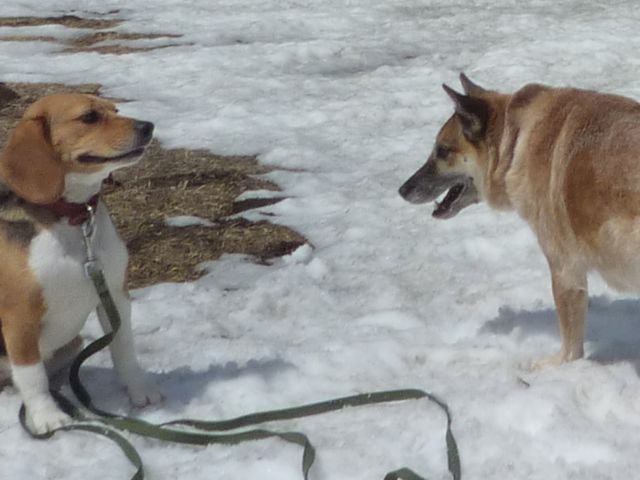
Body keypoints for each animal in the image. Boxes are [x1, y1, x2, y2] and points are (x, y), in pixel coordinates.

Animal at [0, 94, 161, 436]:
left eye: (115, 110)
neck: (73, 218)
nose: (148, 126)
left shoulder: (114, 294)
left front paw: (139, 389)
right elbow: (32, 375)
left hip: (73, 343)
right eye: (89, 117)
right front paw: (47, 416)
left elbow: (123, 347)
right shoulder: (19, 317)